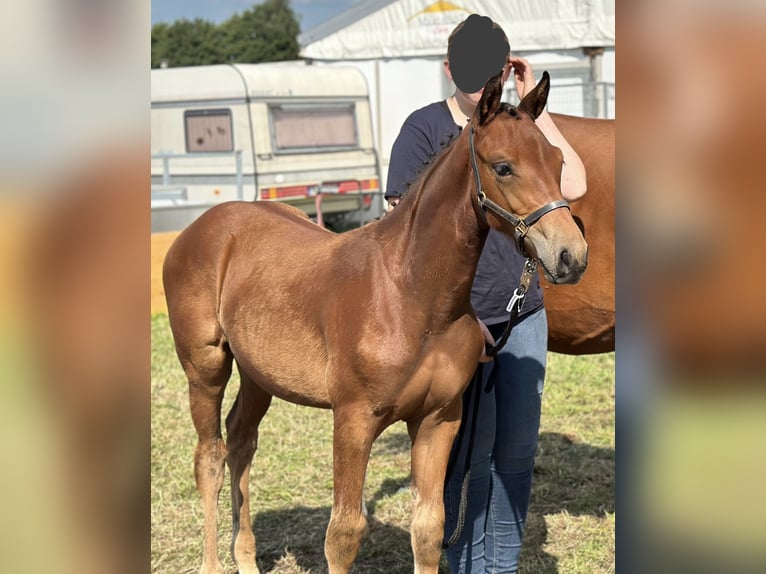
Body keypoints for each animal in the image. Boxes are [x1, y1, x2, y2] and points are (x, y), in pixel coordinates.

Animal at [165, 72, 592, 574]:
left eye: (558, 160)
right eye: (503, 167)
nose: (571, 256)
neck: (412, 297)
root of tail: (200, 227)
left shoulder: (438, 419)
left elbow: (428, 528)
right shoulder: (353, 421)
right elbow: (343, 534)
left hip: (258, 375)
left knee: (241, 441)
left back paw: (246, 558)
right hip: (205, 369)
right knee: (209, 456)